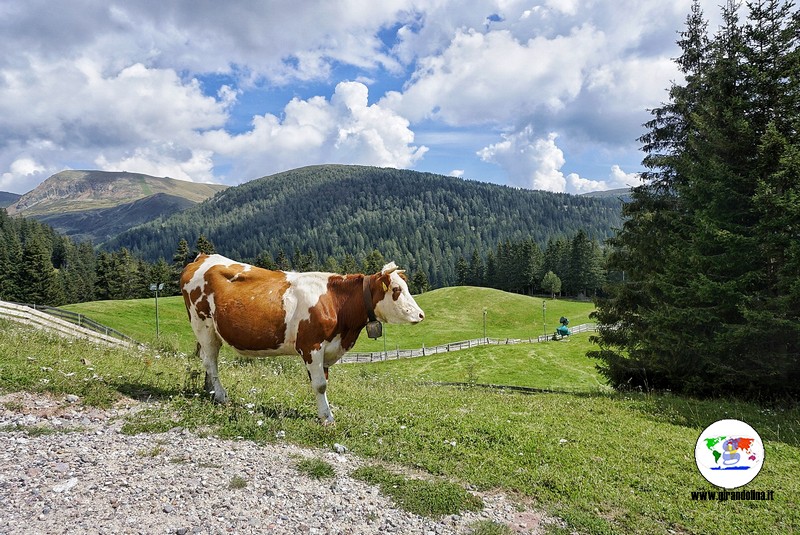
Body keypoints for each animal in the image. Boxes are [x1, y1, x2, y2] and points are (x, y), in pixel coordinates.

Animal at [180, 253, 424, 426]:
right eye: (396, 289)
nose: (421, 315)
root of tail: (203, 257)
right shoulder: (311, 346)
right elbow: (320, 385)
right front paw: (327, 418)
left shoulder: (328, 350)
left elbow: (324, 382)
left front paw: (323, 413)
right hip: (203, 326)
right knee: (210, 361)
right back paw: (221, 396)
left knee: (208, 361)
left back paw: (210, 391)